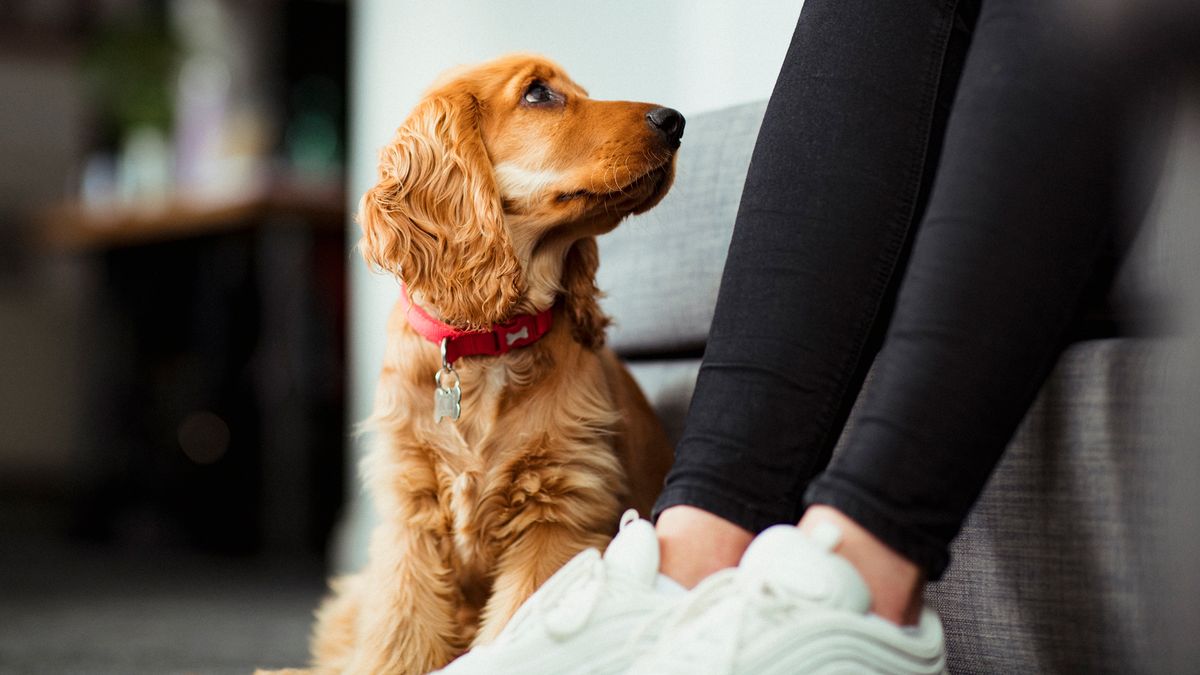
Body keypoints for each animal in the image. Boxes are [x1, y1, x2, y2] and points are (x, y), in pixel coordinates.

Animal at [298, 55, 681, 667]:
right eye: (539, 94)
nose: (675, 121)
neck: (486, 344)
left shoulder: (559, 515)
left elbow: (517, 628)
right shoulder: (410, 519)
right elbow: (398, 635)